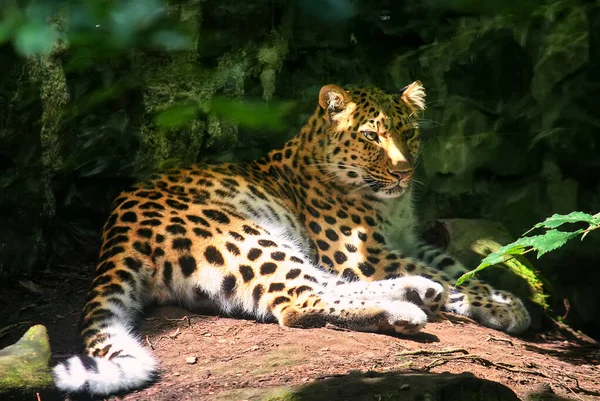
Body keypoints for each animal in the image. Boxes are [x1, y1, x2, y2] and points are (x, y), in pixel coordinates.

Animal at [51, 81, 528, 394]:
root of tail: (116, 231)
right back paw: (406, 309)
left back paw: (416, 292)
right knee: (299, 302)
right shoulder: (364, 253)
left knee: (322, 286)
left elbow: (457, 268)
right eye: (371, 136)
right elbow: (452, 277)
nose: (403, 172)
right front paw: (504, 307)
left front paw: (508, 297)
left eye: (408, 133)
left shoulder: (405, 242)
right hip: (242, 235)